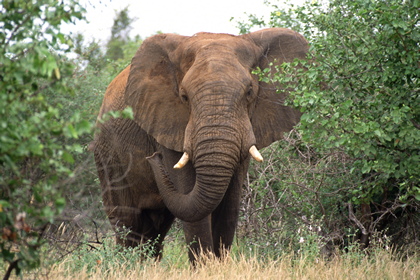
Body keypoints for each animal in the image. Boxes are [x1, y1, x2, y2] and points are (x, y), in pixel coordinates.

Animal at [92, 27, 308, 264]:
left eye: (250, 92)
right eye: (184, 96)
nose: (153, 157)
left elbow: (230, 203)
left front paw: (218, 265)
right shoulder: (167, 121)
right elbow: (188, 191)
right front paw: (206, 267)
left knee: (156, 227)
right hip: (108, 156)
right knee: (128, 222)